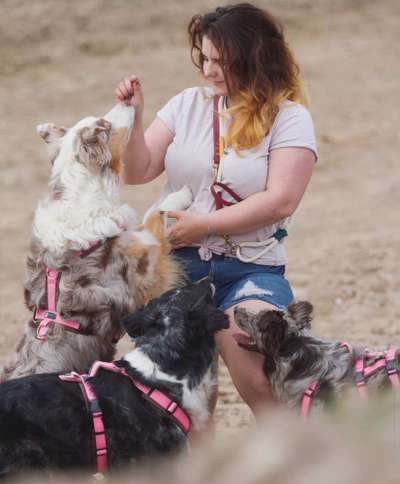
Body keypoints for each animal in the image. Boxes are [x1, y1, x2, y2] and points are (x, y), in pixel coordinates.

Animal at [1, 105, 192, 382]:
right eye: (105, 124)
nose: (128, 102)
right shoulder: (147, 269)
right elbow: (156, 213)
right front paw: (183, 195)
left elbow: (151, 212)